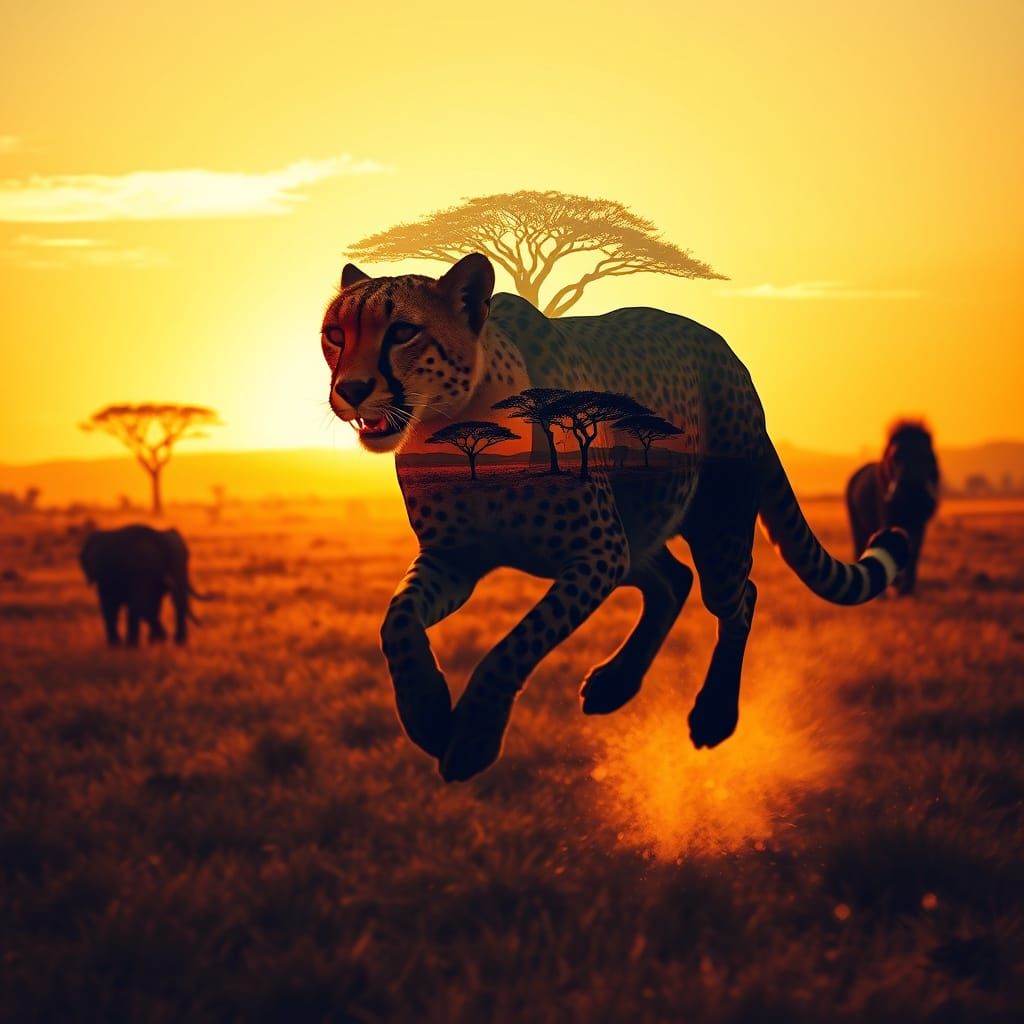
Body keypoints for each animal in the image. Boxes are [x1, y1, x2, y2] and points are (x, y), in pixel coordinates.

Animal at [321, 253, 909, 781]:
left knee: (738, 597)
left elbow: (514, 646)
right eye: (335, 334)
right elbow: (396, 621)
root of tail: (726, 352)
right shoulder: (453, 559)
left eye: (401, 332)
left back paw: (715, 714)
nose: (350, 389)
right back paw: (616, 685)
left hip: (714, 526)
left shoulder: (597, 554)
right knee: (674, 579)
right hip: (638, 531)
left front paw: (471, 739)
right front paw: (424, 711)